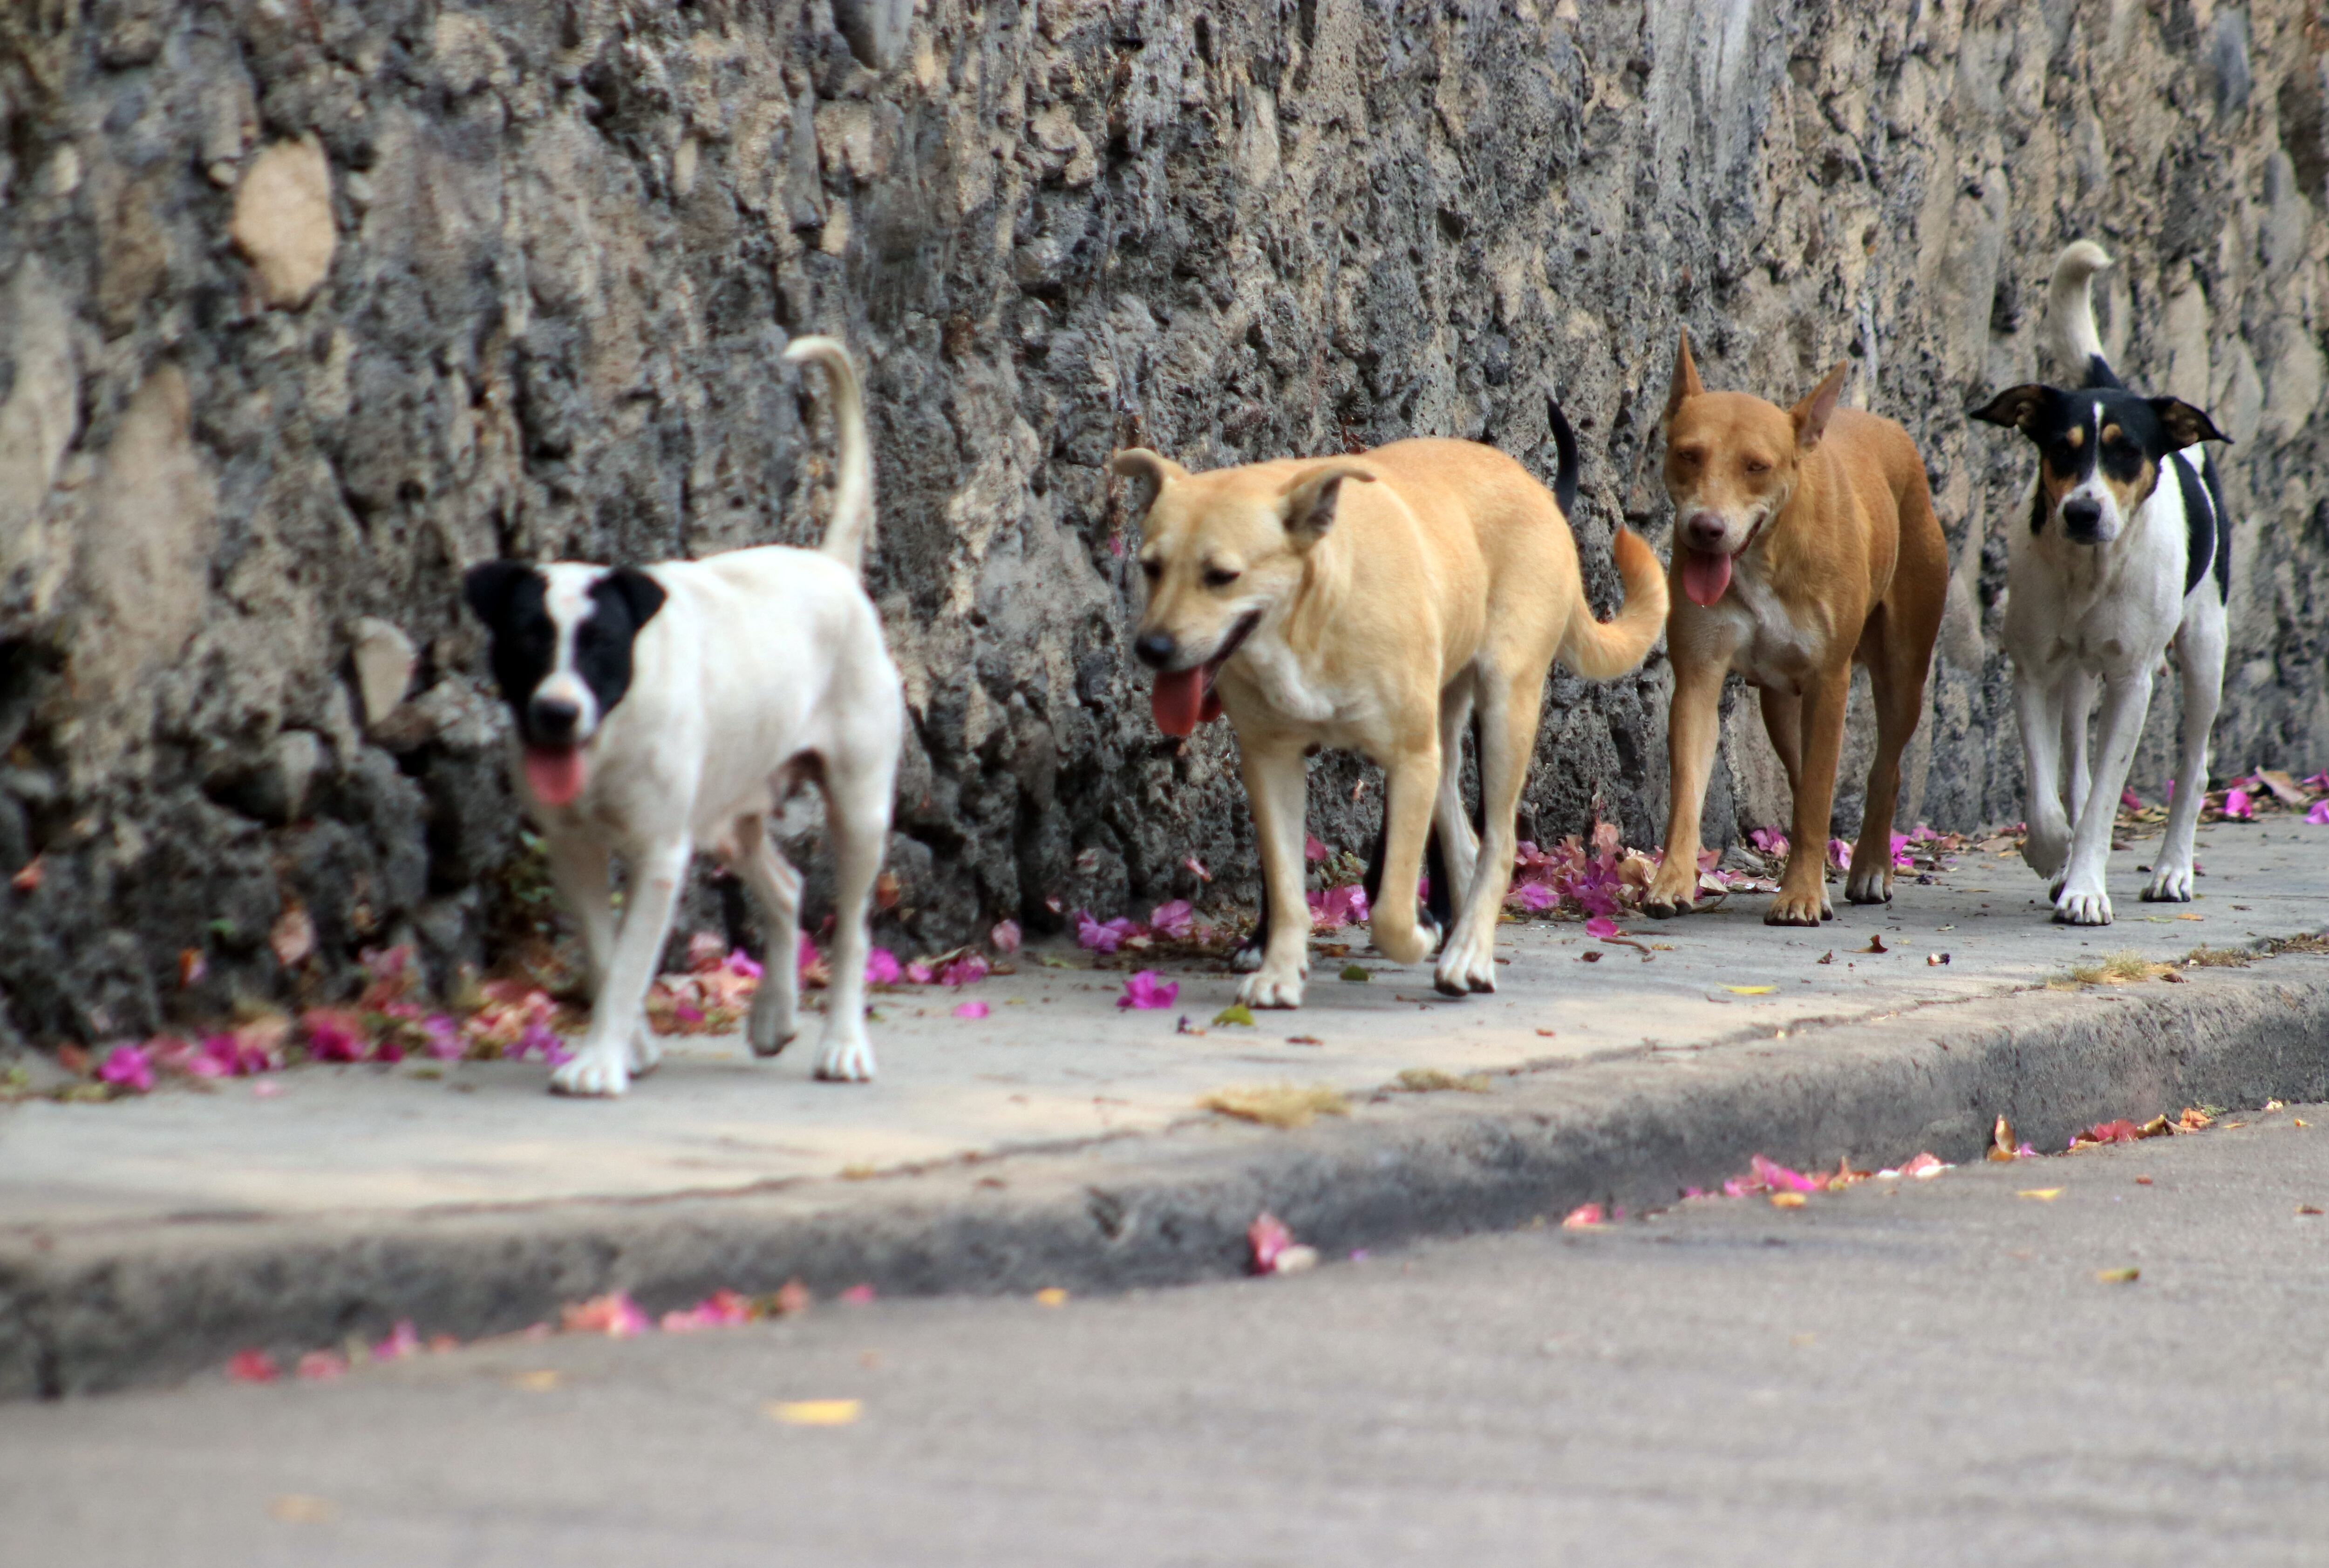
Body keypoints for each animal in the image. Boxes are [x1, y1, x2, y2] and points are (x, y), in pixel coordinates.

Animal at [461, 335, 899, 1090]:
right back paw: (774, 1011)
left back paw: (843, 1042)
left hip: (858, 809)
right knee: (785, 888)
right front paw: (629, 1045)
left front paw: (600, 1060)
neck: (611, 734)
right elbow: (607, 955)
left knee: (851, 930)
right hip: (728, 814)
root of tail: (833, 569)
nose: (556, 713)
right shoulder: (573, 851)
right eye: (527, 641)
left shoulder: (659, 855)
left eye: (602, 646)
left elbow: (630, 963)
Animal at [1118, 431, 1668, 1002]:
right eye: (1150, 567)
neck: (1312, 614)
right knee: (1464, 838)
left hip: (1503, 710)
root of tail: (1535, 489)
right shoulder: (1272, 761)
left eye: (1222, 576)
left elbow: (1390, 910)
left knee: (1497, 844)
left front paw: (1415, 935)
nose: (1152, 648)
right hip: (1444, 726)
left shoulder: (1409, 760)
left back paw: (1468, 953)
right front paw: (1277, 972)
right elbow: (1288, 888)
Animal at [1640, 331, 1947, 918]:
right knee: (1802, 772)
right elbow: (1687, 790)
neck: (1764, 555)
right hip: (1780, 704)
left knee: (1885, 766)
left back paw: (1870, 867)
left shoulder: (1830, 682)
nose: (1704, 529)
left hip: (1903, 670)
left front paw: (1800, 894)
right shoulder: (1698, 677)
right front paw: (1671, 880)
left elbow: (1817, 797)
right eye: (1688, 454)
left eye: (1756, 466)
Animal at [1975, 243, 2227, 923]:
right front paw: (2051, 851)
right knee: (2073, 763)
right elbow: (2047, 789)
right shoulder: (2033, 669)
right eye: (2061, 450)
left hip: (2204, 648)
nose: (2083, 513)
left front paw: (2085, 887)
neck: (2089, 571)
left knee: (2194, 767)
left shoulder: (2131, 681)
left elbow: (2105, 799)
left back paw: (2171, 870)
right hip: (2075, 672)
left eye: (2126, 451)